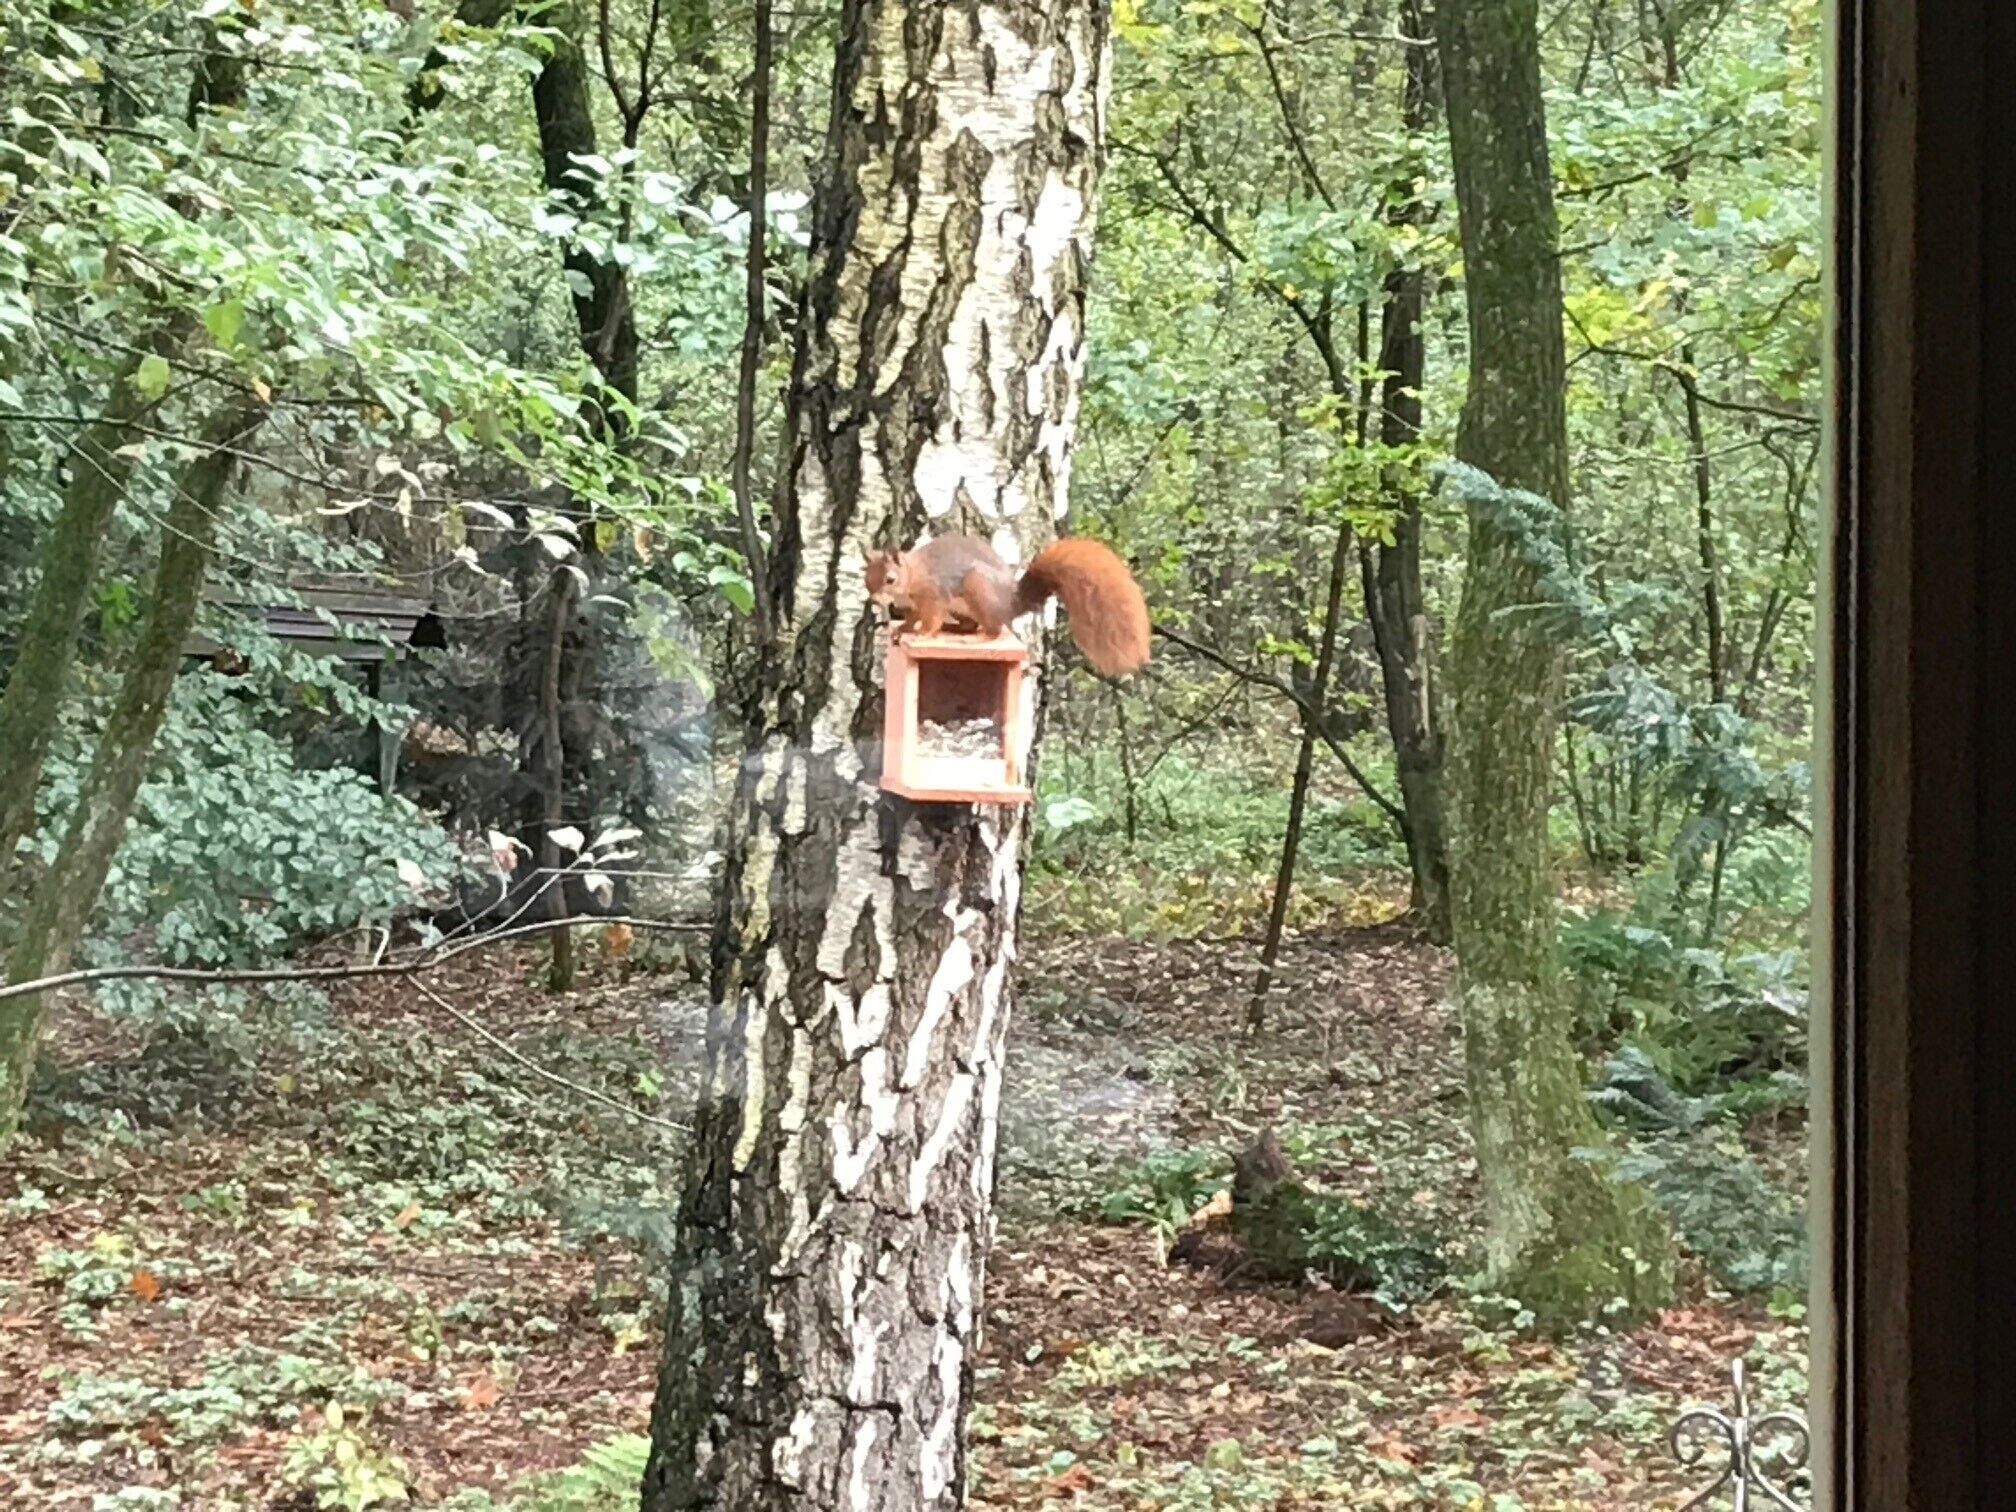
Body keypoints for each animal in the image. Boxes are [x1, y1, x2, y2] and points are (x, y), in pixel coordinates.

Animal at [866, 534, 1150, 678]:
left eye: (890, 579)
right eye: (866, 577)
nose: (875, 601)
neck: (913, 575)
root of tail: (1010, 602)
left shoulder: (935, 594)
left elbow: (931, 619)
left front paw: (923, 635)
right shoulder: (914, 606)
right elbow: (912, 618)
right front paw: (902, 629)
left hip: (977, 587)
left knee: (992, 628)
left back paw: (978, 639)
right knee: (972, 624)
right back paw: (958, 630)